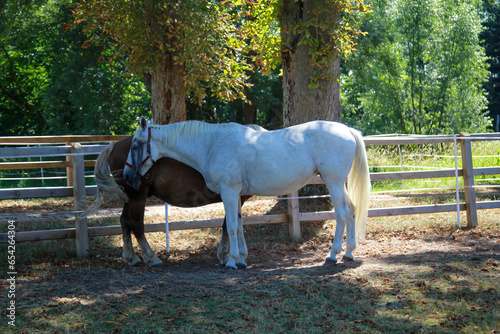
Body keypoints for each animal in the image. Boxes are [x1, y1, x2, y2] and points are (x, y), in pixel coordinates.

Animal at [88, 136, 250, 266]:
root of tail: (115, 145)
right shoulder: (233, 195)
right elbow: (229, 225)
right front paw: (226, 256)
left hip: (130, 197)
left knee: (124, 221)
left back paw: (131, 257)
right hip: (137, 196)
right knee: (136, 224)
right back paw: (151, 257)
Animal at [123, 117, 370, 268]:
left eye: (135, 145)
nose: (127, 176)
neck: (211, 145)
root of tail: (347, 130)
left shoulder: (229, 192)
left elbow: (231, 226)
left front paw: (232, 261)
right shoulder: (236, 194)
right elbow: (239, 225)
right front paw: (241, 259)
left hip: (333, 182)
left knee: (341, 215)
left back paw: (333, 255)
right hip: (340, 184)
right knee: (351, 212)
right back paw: (348, 253)